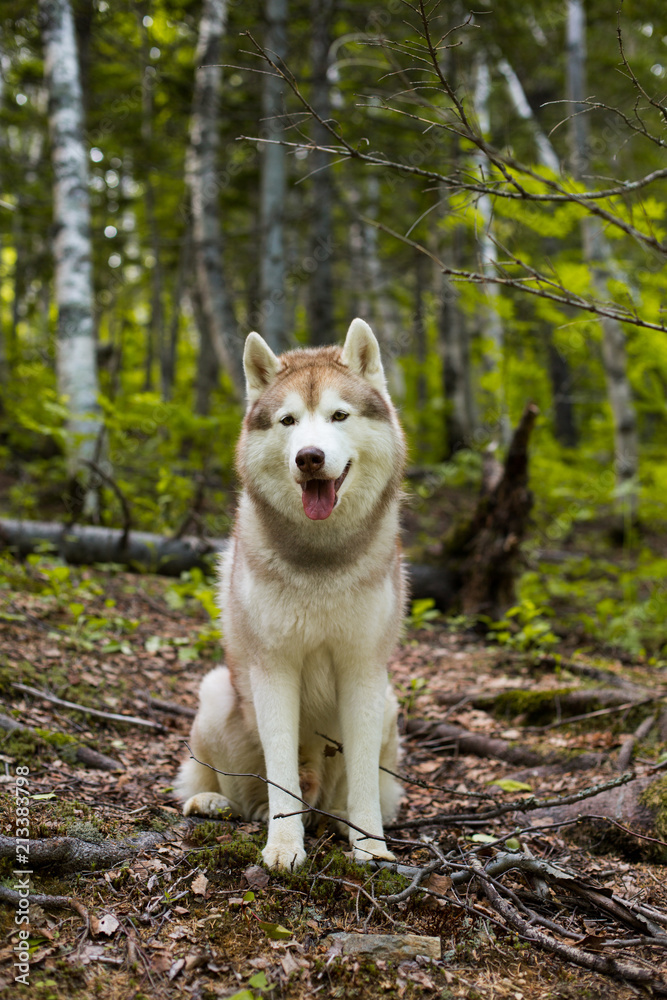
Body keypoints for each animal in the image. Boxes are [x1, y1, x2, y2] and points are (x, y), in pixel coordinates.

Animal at [177, 320, 404, 868]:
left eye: (339, 415)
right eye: (288, 420)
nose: (309, 457)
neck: (320, 560)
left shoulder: (362, 667)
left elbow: (363, 775)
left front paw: (370, 844)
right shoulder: (274, 666)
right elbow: (281, 769)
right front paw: (283, 845)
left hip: (389, 702)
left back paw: (338, 820)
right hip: (216, 693)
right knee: (227, 786)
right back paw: (216, 802)